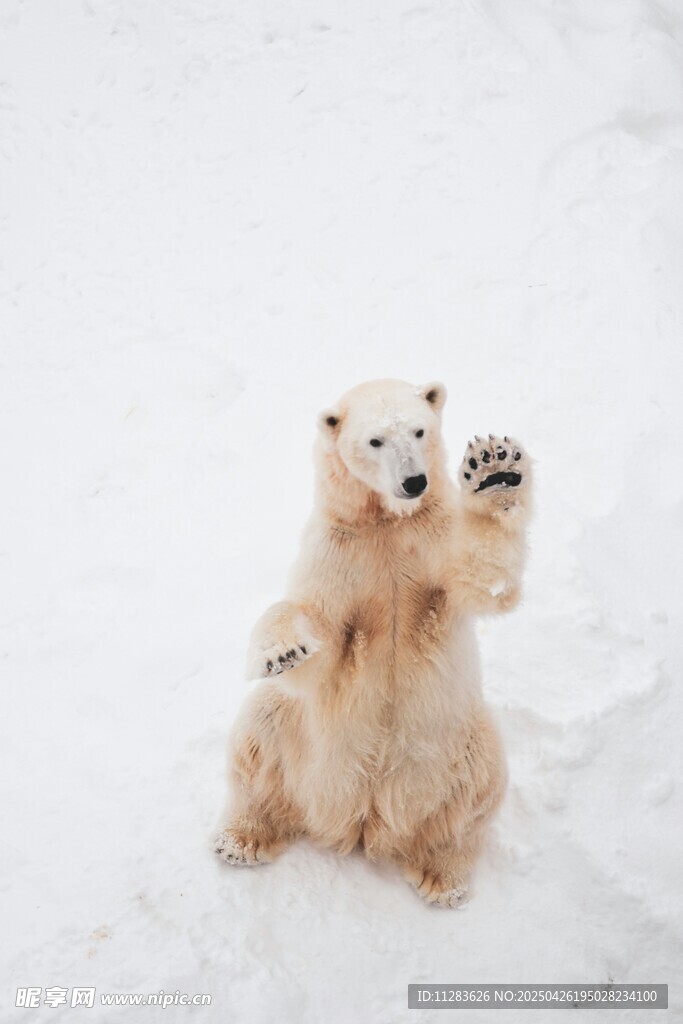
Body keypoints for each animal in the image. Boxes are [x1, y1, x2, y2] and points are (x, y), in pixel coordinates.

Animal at [214, 378, 532, 907]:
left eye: (419, 430)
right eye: (375, 441)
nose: (415, 482)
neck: (388, 522)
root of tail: (367, 819)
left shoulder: (433, 537)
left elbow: (482, 578)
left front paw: (495, 472)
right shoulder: (339, 548)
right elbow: (315, 630)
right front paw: (282, 651)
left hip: (458, 738)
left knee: (476, 789)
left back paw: (442, 877)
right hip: (304, 744)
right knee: (261, 730)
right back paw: (241, 838)